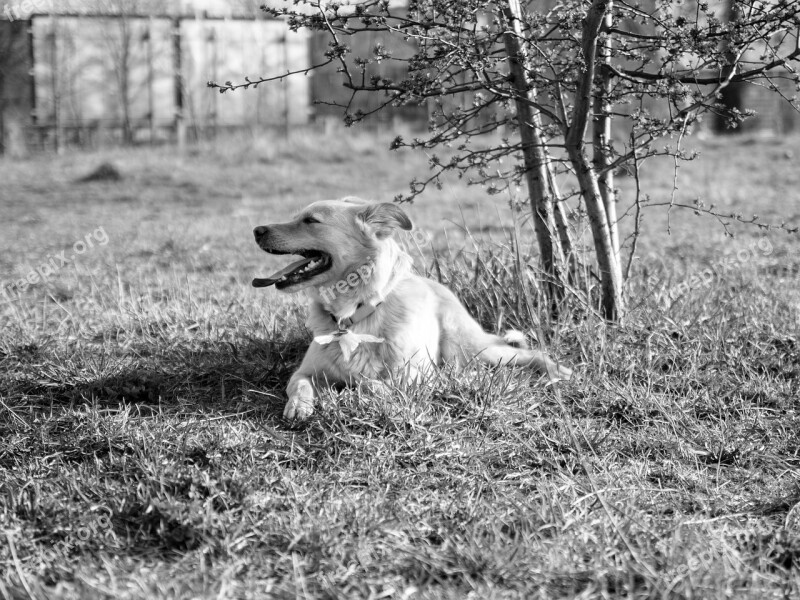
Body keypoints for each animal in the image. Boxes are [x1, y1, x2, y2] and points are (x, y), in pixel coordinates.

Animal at [253, 199, 572, 420]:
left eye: (311, 220)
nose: (256, 229)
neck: (352, 316)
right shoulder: (304, 372)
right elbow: (300, 385)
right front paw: (299, 406)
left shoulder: (417, 377)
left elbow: (370, 383)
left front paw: (362, 390)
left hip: (467, 350)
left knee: (529, 354)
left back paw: (559, 372)